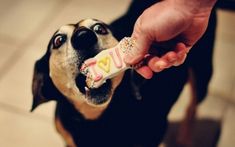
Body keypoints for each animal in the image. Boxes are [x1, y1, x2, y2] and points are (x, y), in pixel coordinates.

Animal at [31, 18, 211, 147]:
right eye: (58, 40)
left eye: (99, 28)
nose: (83, 36)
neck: (94, 117)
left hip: (202, 77)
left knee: (192, 107)